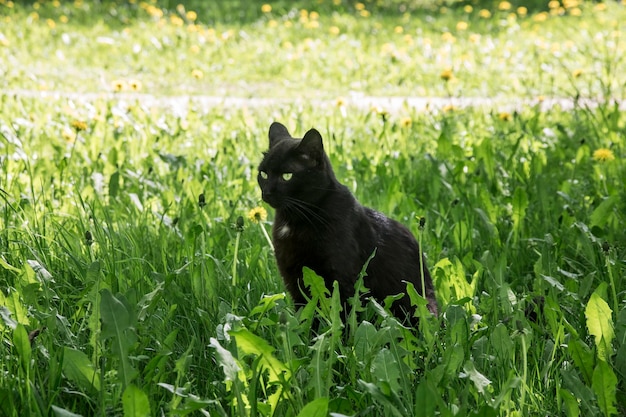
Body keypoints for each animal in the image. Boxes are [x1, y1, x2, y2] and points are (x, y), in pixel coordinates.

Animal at [256, 120, 436, 322]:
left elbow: (344, 316)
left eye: (287, 176)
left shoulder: (342, 279)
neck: (296, 219)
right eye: (263, 174)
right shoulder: (293, 279)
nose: (266, 193)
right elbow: (306, 316)